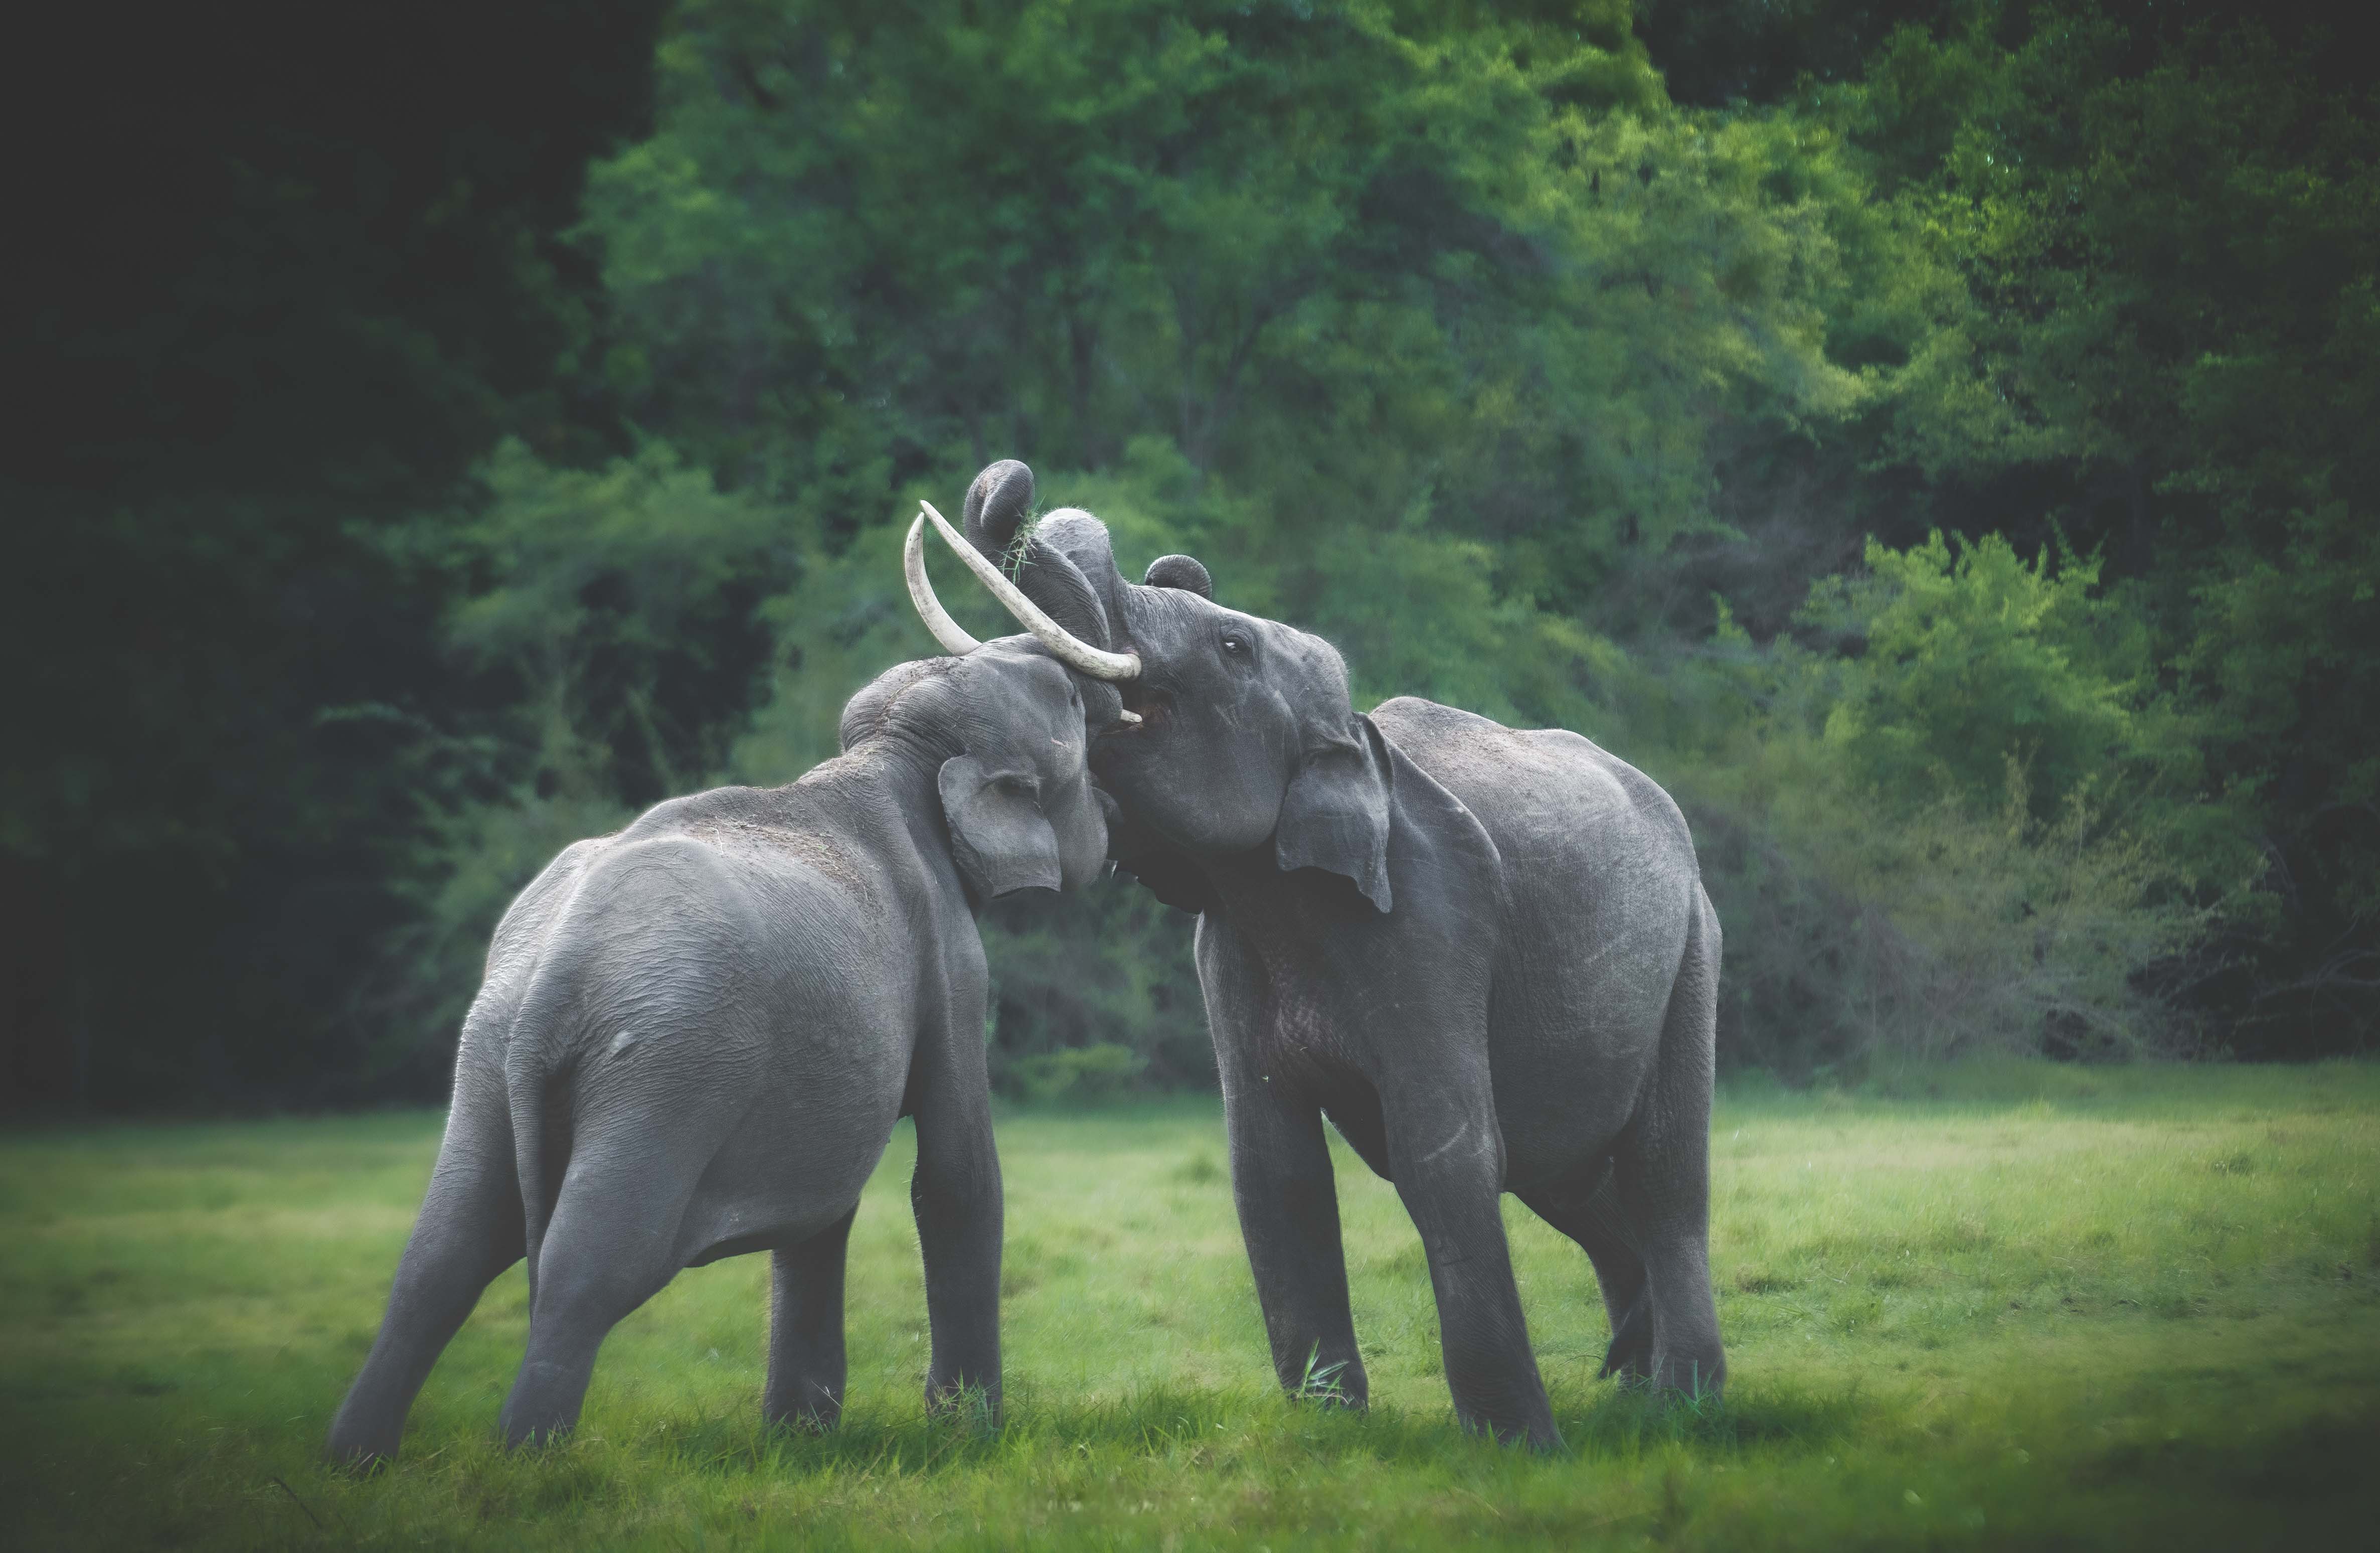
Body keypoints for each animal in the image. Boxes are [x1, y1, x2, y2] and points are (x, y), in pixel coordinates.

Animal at [325, 562, 1116, 1464]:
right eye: (1071, 704)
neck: (888, 753)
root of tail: (556, 973)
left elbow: (823, 1209)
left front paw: (799, 1439)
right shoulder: (951, 964)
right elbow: (955, 1174)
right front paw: (970, 1436)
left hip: (488, 1053)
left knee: (443, 1255)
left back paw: (355, 1464)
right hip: (669, 1069)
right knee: (589, 1265)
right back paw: (527, 1466)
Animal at [904, 461, 1725, 1449]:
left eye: (1229, 646)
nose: (1011, 486)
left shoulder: (1433, 921)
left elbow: (1441, 1154)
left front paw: (1517, 1448)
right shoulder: (1228, 946)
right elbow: (1274, 1169)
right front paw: (1335, 1428)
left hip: (1692, 951)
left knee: (1659, 1174)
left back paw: (1683, 1405)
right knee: (1562, 1175)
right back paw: (1631, 1387)